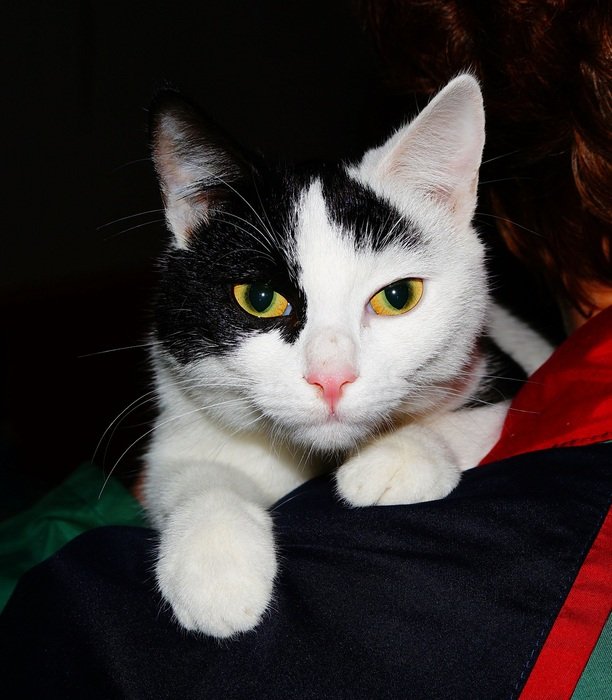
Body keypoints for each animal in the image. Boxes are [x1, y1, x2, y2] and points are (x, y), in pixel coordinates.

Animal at [142, 76, 548, 640]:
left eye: (398, 296)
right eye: (259, 299)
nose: (331, 379)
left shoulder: (503, 368)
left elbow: (480, 415)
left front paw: (398, 454)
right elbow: (190, 471)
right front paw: (216, 563)